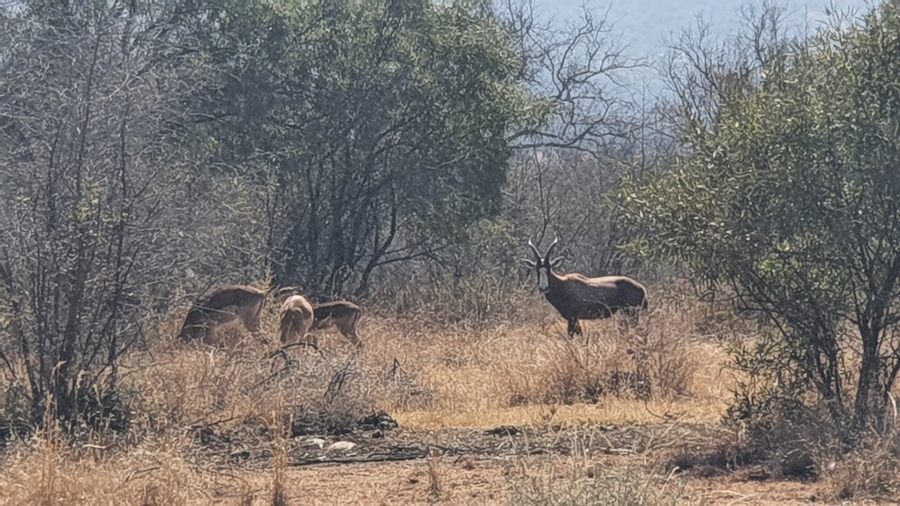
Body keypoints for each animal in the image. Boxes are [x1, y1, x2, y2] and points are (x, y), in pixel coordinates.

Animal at [520, 236, 648, 338]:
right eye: (537, 269)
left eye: (549, 268)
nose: (544, 287)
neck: (563, 285)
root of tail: (642, 288)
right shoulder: (574, 319)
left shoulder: (573, 318)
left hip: (631, 313)